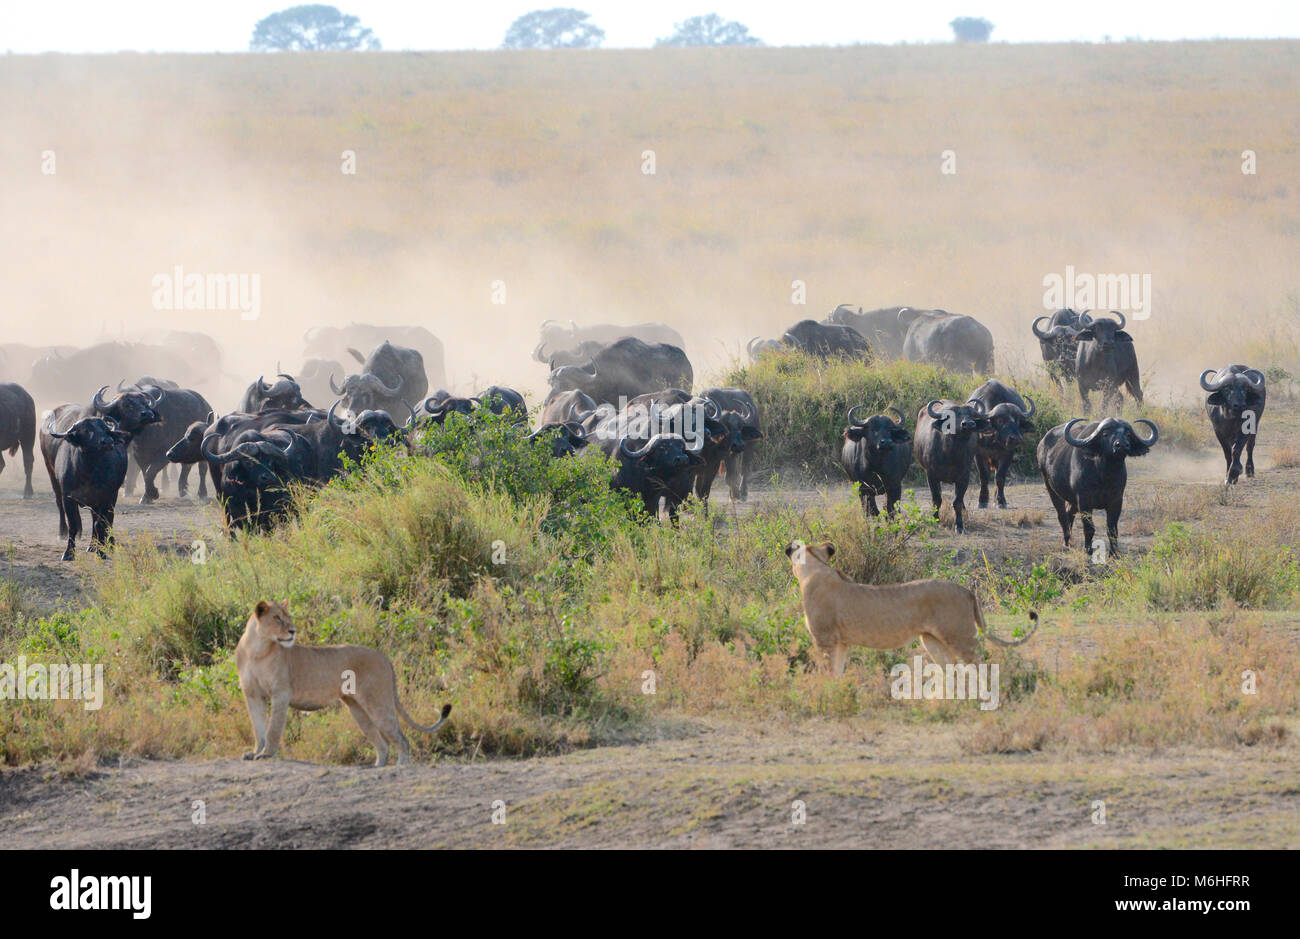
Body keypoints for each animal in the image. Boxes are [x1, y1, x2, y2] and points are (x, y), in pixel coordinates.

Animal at [1034, 416, 1159, 556]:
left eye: (1128, 434)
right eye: (1105, 434)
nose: (1122, 445)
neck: (1104, 475)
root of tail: (1041, 444)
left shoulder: (1116, 500)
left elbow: (1112, 529)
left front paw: (1114, 553)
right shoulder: (1084, 500)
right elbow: (1089, 528)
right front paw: (1088, 550)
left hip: (1073, 499)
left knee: (1069, 512)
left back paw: (1070, 541)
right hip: (1051, 488)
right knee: (1061, 515)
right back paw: (1066, 542)